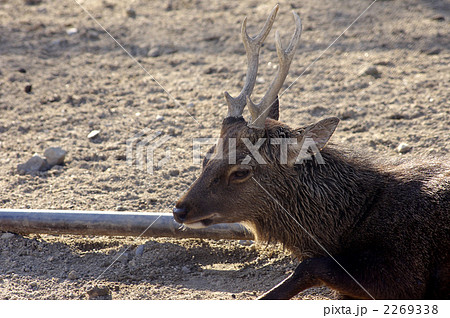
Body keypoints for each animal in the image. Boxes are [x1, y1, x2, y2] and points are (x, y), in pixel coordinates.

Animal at [171, 3, 448, 300]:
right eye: (206, 156)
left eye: (242, 171)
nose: (179, 210)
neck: (349, 225)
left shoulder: (406, 270)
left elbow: (309, 266)